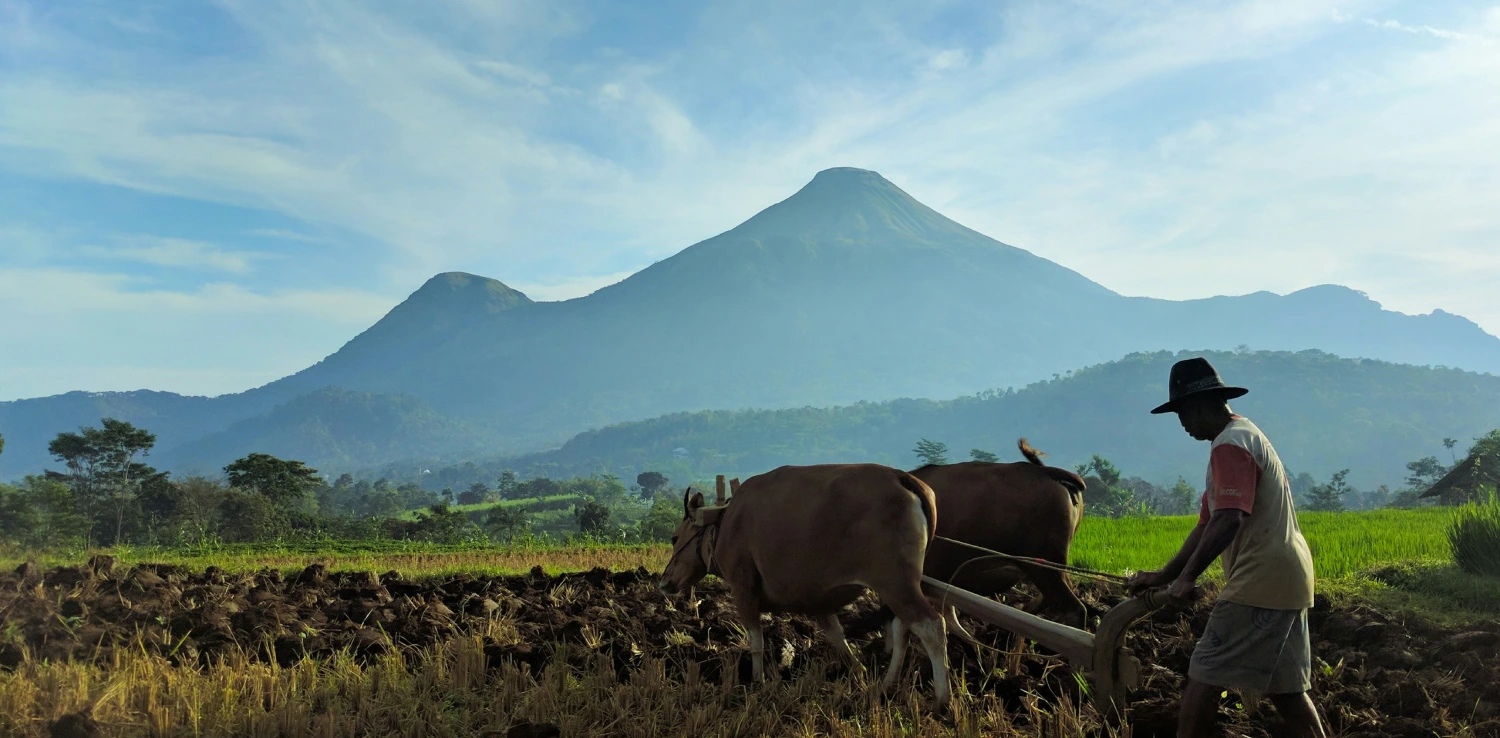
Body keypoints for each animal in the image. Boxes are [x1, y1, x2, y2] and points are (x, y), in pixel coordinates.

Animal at [660, 465, 948, 705]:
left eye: (674, 538)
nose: (664, 582)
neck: (725, 524)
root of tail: (903, 477)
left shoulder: (743, 590)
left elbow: (756, 641)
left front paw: (758, 681)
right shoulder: (820, 602)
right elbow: (838, 638)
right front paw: (858, 670)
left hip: (897, 586)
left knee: (932, 626)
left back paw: (942, 700)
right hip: (899, 590)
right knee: (903, 628)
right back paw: (887, 685)